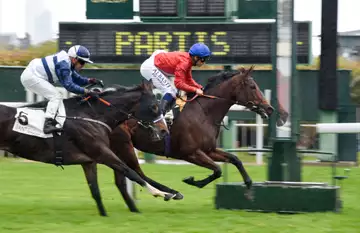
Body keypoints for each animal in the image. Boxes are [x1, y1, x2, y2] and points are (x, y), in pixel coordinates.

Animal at [1, 81, 173, 216]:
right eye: (154, 106)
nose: (164, 130)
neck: (91, 116)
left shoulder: (89, 161)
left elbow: (95, 190)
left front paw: (104, 215)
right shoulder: (102, 153)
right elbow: (130, 172)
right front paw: (162, 193)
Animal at [107, 66, 290, 212]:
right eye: (252, 86)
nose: (270, 108)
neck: (204, 113)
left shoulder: (209, 150)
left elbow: (234, 159)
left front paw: (249, 187)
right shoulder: (190, 153)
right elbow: (218, 170)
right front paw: (192, 181)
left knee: (123, 178)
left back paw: (138, 204)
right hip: (125, 145)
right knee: (136, 172)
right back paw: (171, 193)